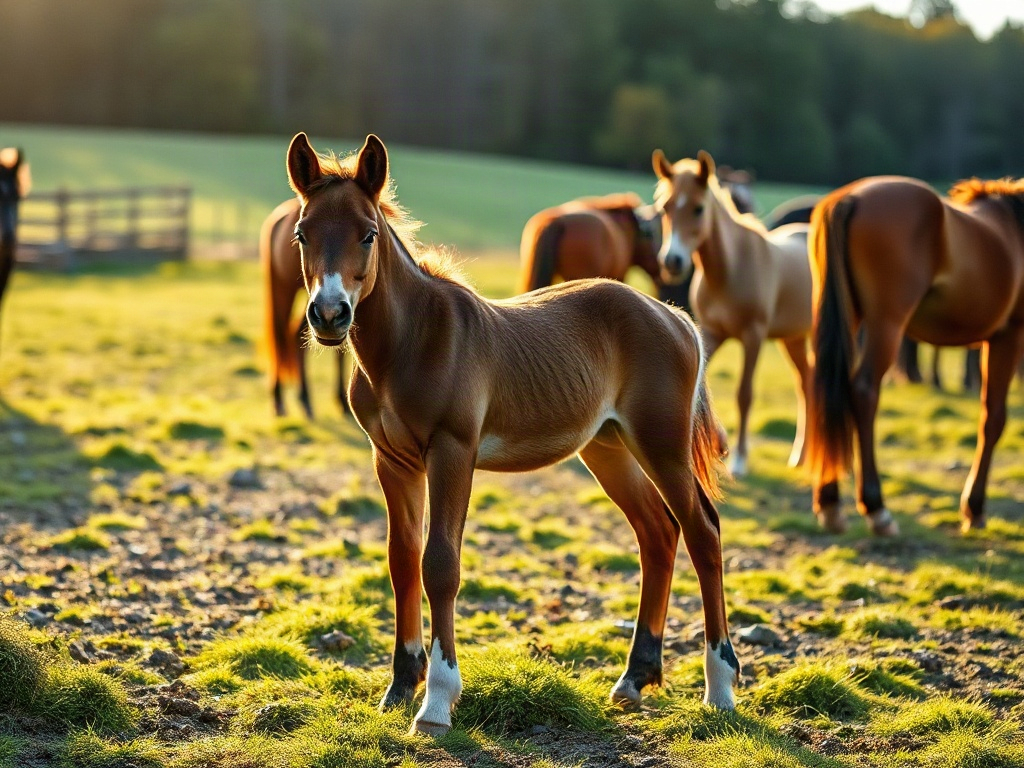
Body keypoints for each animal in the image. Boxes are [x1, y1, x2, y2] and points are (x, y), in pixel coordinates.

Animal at [653, 148, 812, 477]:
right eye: (665, 208)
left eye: (699, 208)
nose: (672, 262)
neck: (730, 268)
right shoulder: (712, 333)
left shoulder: (753, 336)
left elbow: (744, 394)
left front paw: (739, 460)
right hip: (793, 338)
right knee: (805, 384)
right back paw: (800, 456)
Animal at [808, 176, 1024, 537]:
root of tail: (850, 198)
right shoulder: (1008, 335)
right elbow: (993, 419)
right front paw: (974, 508)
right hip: (886, 324)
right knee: (863, 392)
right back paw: (876, 509)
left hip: (843, 317)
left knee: (824, 391)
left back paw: (830, 502)